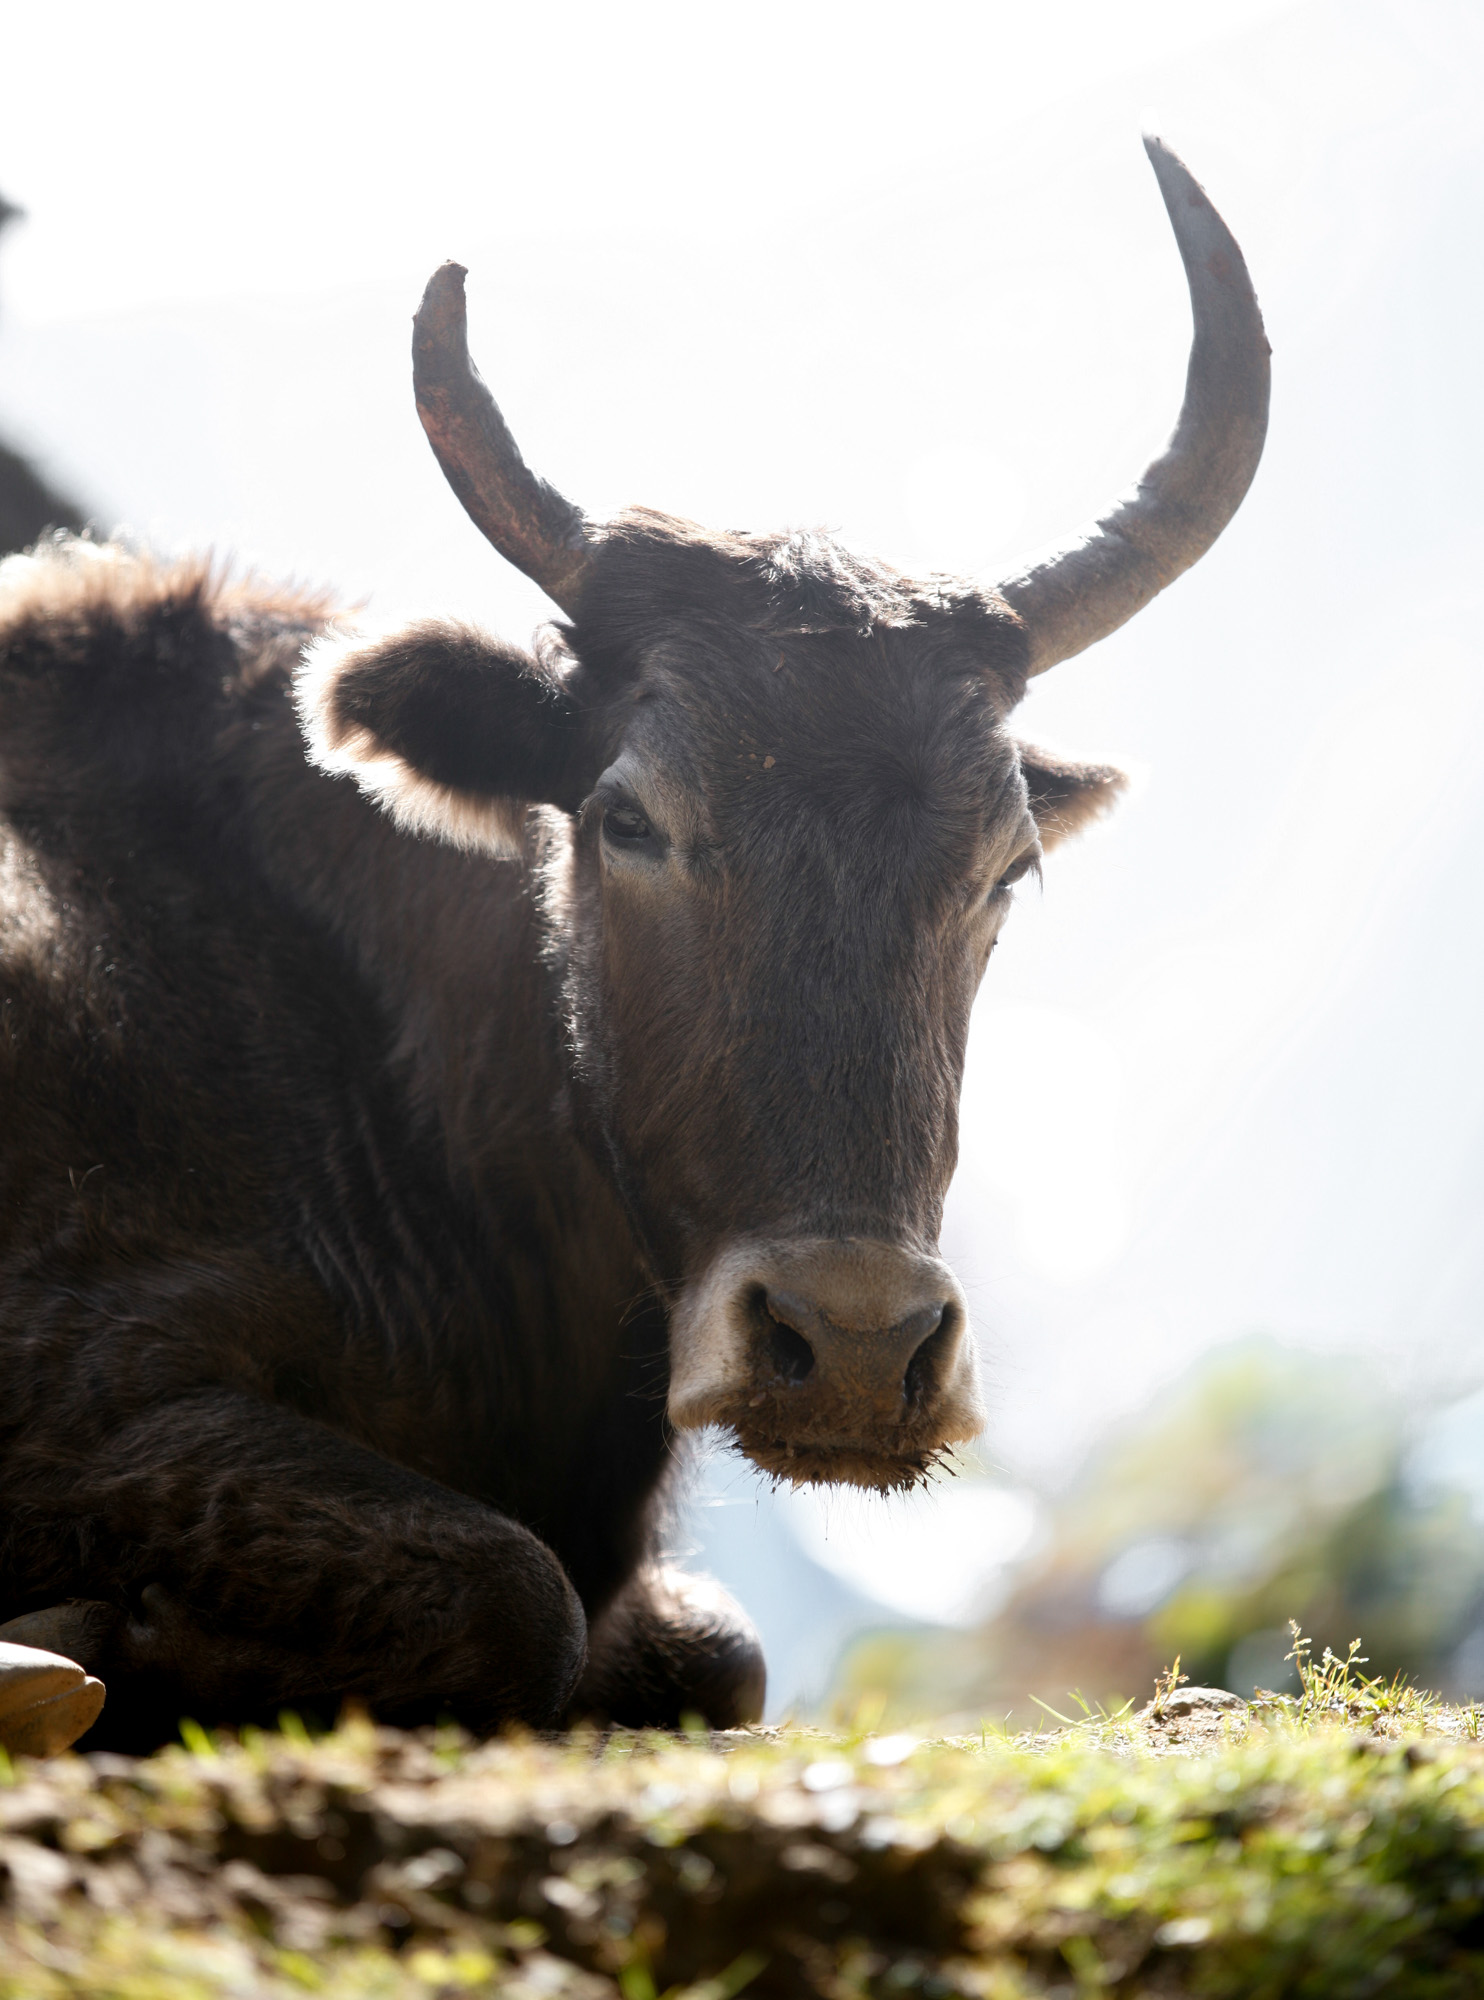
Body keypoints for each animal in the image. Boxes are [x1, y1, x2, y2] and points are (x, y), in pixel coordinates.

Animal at [0, 139, 1268, 1751]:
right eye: (627, 816)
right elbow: (511, 1589)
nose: (854, 1345)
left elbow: (718, 1647)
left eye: (1008, 864)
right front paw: (103, 1638)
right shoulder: (83, 1374)